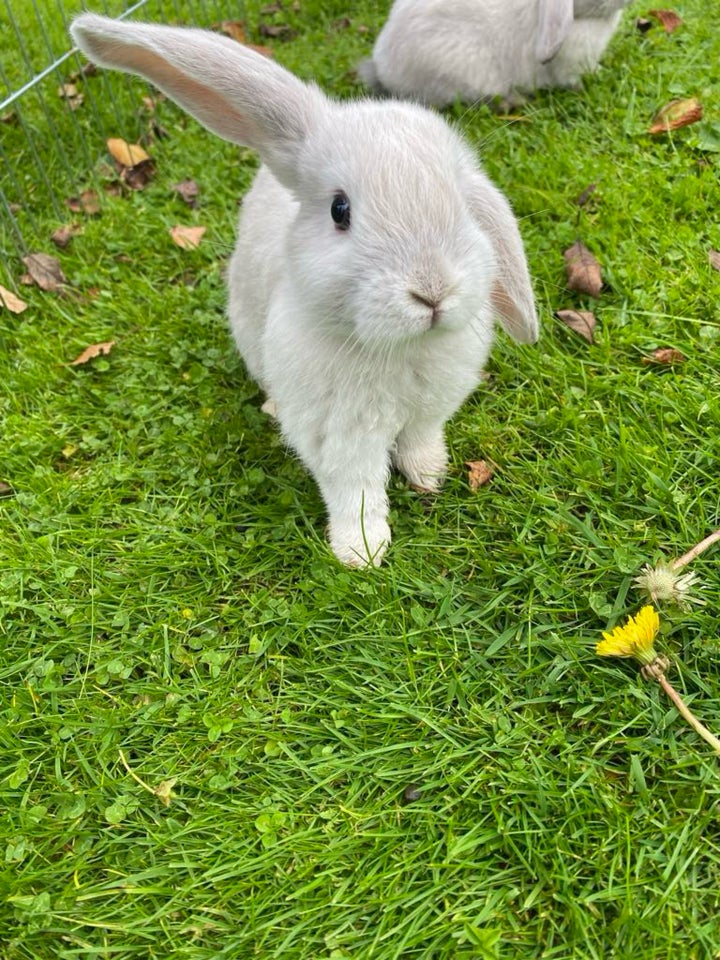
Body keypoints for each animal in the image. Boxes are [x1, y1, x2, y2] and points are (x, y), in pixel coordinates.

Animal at [70, 11, 536, 568]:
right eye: (340, 210)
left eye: (464, 204)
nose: (433, 290)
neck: (397, 349)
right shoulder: (338, 437)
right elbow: (356, 492)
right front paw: (361, 553)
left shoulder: (429, 412)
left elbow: (420, 442)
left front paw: (430, 476)